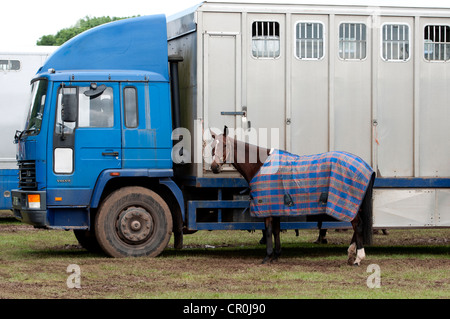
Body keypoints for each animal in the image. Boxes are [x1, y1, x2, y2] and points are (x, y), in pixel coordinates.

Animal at [211, 126, 376, 266]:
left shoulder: (267, 208)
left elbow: (269, 230)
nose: (214, 167)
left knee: (357, 225)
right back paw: (351, 254)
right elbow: (276, 230)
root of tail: (367, 167)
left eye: (224, 145)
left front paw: (267, 257)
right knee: (357, 226)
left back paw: (358, 258)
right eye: (213, 146)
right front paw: (276, 255)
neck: (261, 165)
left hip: (347, 204)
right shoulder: (276, 207)